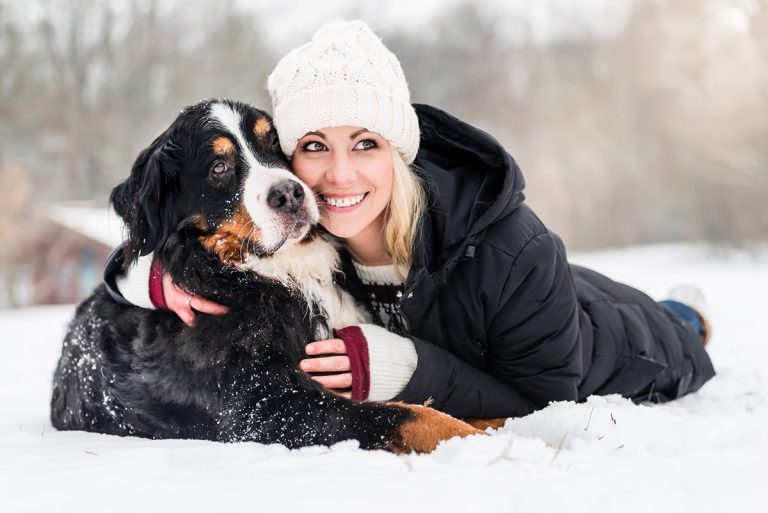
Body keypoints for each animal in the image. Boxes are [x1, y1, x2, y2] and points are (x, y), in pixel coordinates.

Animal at [49, 99, 480, 452]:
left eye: (273, 143)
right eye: (219, 167)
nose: (289, 194)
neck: (273, 276)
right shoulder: (265, 407)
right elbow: (405, 414)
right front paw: (474, 439)